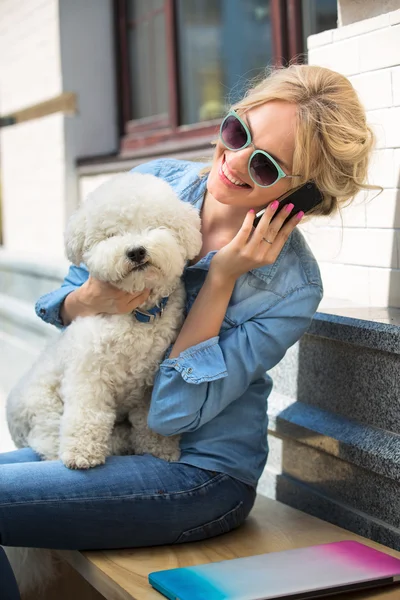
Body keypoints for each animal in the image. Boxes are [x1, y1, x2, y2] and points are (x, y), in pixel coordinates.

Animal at [7, 171, 203, 466]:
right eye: (112, 234)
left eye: (153, 225)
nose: (136, 251)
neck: (138, 315)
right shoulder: (89, 371)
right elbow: (88, 412)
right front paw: (82, 452)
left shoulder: (151, 384)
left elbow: (150, 421)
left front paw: (159, 448)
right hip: (44, 405)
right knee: (48, 439)